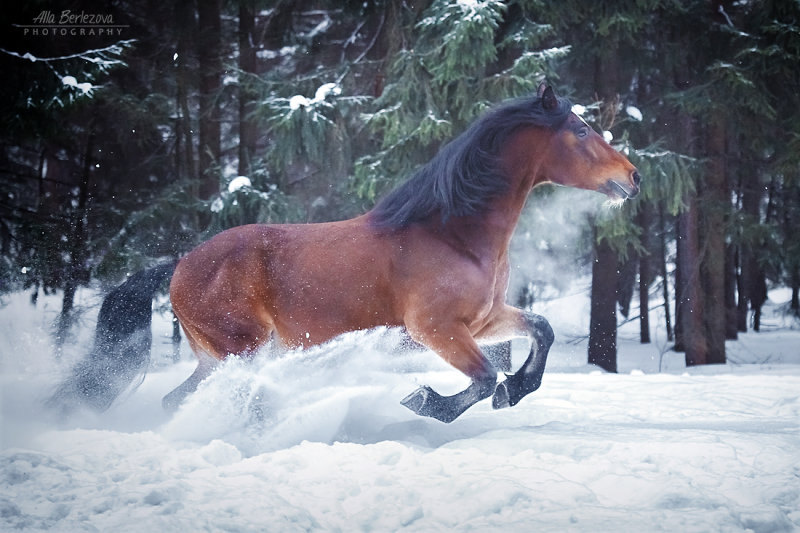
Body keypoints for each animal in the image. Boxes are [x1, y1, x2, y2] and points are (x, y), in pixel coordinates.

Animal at [51, 84, 636, 424]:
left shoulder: (484, 320)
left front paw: (516, 390)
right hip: (241, 350)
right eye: (582, 130)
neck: (453, 233)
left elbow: (541, 330)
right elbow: (482, 378)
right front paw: (429, 401)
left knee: (181, 399)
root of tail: (180, 265)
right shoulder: (436, 328)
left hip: (217, 357)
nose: (632, 177)